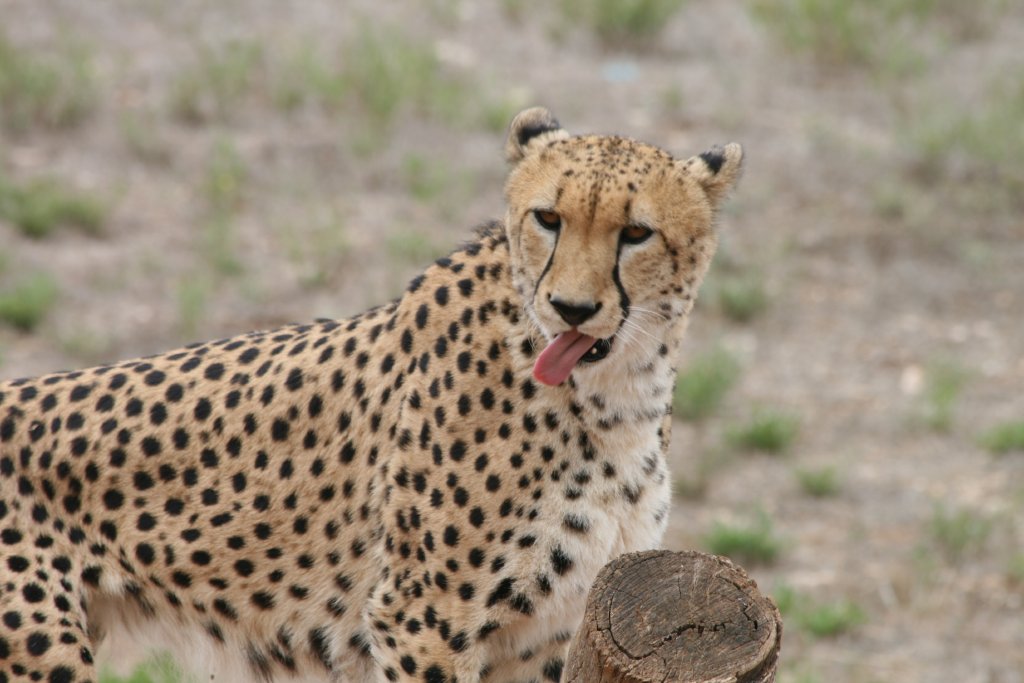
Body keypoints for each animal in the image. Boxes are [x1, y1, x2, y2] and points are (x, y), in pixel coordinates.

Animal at [0, 107, 742, 683]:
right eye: (548, 218)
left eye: (636, 233)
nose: (571, 308)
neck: (614, 397)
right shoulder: (423, 617)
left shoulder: (546, 632)